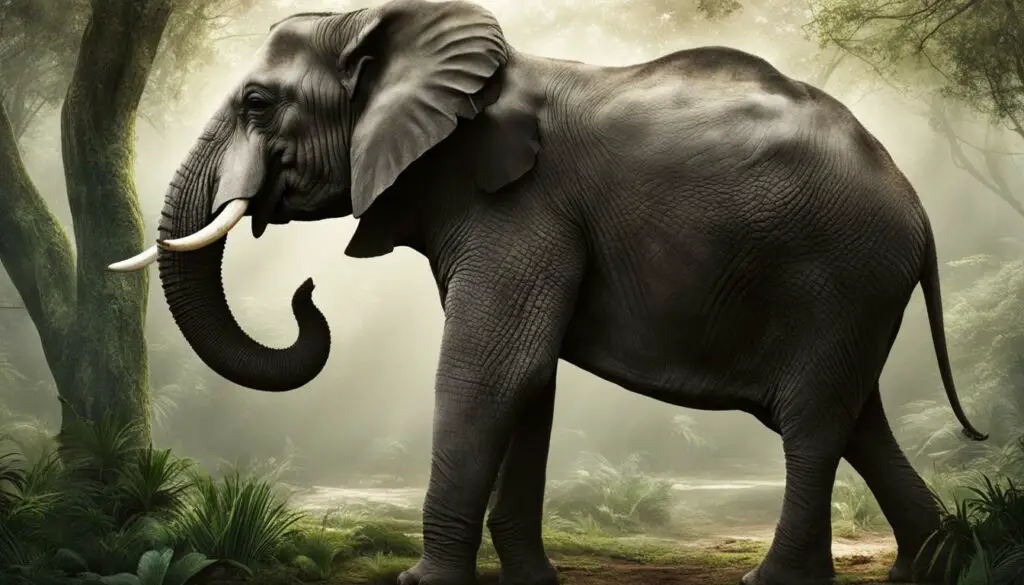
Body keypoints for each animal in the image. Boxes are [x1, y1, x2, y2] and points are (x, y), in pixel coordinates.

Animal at [110, 1, 988, 584]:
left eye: (259, 104)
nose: (306, 288)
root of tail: (917, 210)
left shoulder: (522, 204)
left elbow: (491, 370)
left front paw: (422, 583)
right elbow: (528, 385)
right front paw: (531, 582)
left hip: (840, 274)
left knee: (810, 423)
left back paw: (776, 583)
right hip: (855, 292)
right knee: (857, 420)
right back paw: (927, 566)